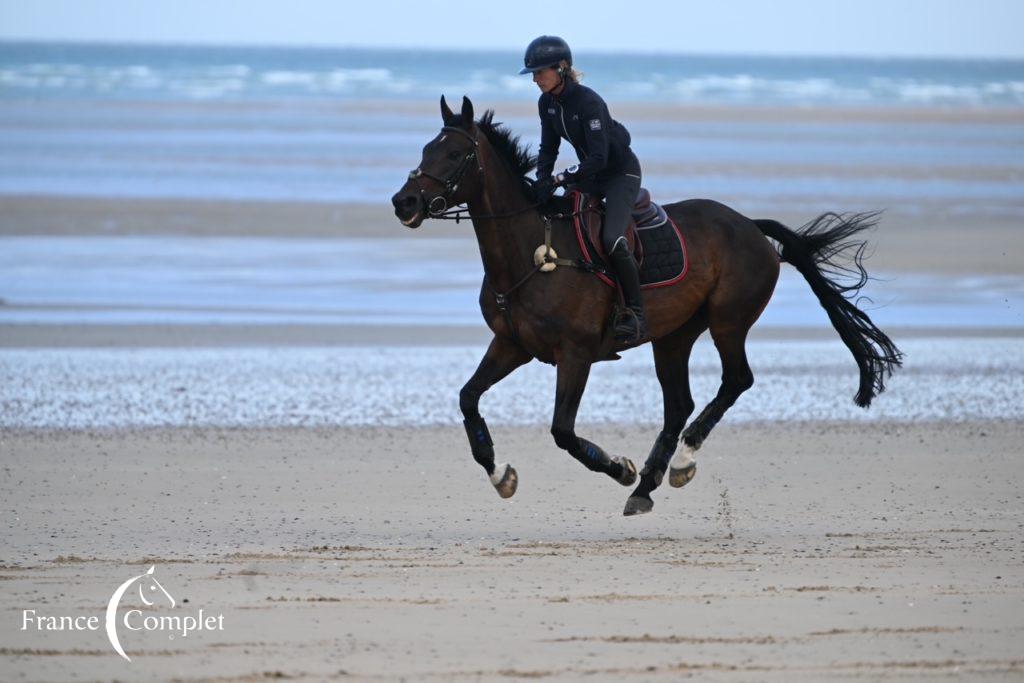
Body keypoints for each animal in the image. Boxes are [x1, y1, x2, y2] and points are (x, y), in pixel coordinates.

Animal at [387, 93, 901, 516]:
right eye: (425, 150)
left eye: (455, 154)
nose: (403, 202)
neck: (529, 252)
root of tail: (751, 226)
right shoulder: (512, 345)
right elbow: (468, 399)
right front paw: (501, 475)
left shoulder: (575, 355)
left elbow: (563, 431)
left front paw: (619, 467)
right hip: (673, 337)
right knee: (679, 404)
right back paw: (648, 485)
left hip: (728, 321)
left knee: (735, 381)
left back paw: (681, 461)